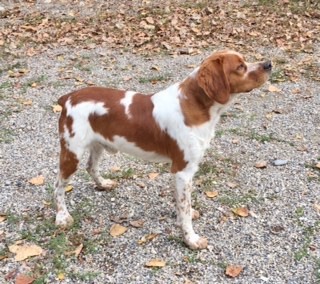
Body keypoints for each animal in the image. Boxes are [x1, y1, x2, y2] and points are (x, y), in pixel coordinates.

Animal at [53, 50, 272, 250]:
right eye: (240, 67)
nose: (268, 64)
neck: (195, 105)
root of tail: (68, 98)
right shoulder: (183, 170)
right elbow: (185, 209)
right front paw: (191, 240)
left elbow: (183, 204)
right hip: (72, 152)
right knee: (58, 186)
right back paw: (62, 217)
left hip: (97, 145)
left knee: (91, 167)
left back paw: (103, 184)